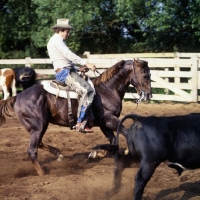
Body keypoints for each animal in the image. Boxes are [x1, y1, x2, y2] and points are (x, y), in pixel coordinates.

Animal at [0, 59, 152, 175]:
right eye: (145, 75)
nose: (149, 94)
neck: (107, 90)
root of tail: (18, 96)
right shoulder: (110, 120)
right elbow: (125, 133)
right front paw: (124, 151)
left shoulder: (104, 124)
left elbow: (113, 140)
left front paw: (96, 153)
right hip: (38, 126)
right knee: (32, 150)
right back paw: (42, 173)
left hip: (37, 127)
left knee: (39, 143)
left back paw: (58, 154)